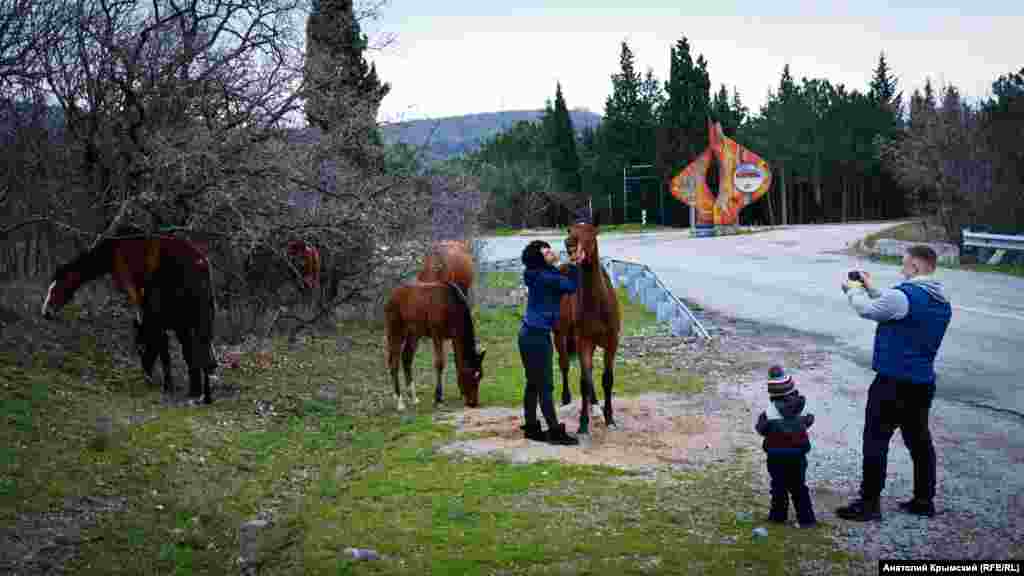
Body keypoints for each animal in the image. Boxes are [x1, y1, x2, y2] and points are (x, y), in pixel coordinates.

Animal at [385, 280, 485, 409]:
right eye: (470, 374)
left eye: (480, 376)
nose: (473, 403)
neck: (452, 305)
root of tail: (392, 295)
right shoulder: (437, 334)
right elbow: (440, 363)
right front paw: (438, 398)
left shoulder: (454, 337)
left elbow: (457, 362)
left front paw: (460, 393)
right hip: (395, 330)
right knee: (394, 362)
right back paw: (400, 401)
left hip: (414, 332)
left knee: (406, 358)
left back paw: (413, 397)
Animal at [552, 222, 622, 432]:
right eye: (570, 231)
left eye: (591, 233)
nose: (570, 244)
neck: (598, 304)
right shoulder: (584, 341)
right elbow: (584, 381)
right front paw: (583, 424)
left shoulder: (612, 342)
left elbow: (607, 379)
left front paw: (609, 418)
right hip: (560, 335)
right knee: (565, 364)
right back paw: (566, 398)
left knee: (588, 372)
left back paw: (595, 406)